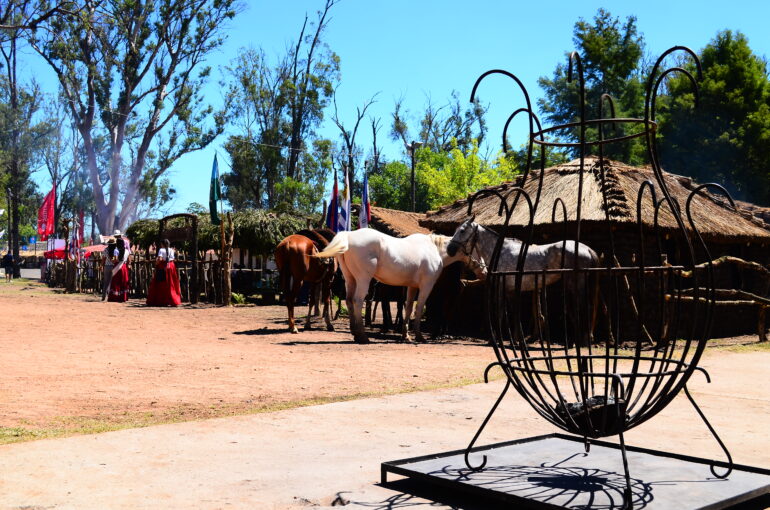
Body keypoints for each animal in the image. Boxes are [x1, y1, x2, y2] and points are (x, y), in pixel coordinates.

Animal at [312, 230, 480, 342]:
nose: (482, 268)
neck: (435, 250)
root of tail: (349, 235)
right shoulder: (426, 286)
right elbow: (419, 308)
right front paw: (419, 336)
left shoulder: (412, 287)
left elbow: (408, 308)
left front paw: (406, 335)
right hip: (363, 279)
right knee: (357, 301)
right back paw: (363, 336)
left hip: (350, 278)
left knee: (348, 301)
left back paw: (355, 333)